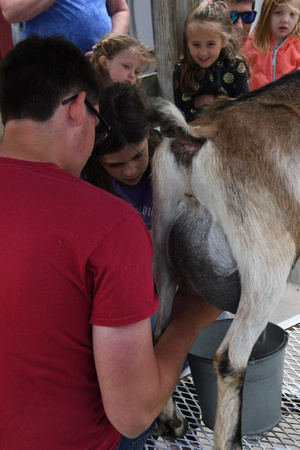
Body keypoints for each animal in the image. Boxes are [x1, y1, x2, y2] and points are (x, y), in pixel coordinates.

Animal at [151, 71, 298, 450]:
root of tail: (195, 138)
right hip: (265, 267)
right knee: (230, 359)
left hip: (161, 243)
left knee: (158, 332)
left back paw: (173, 421)